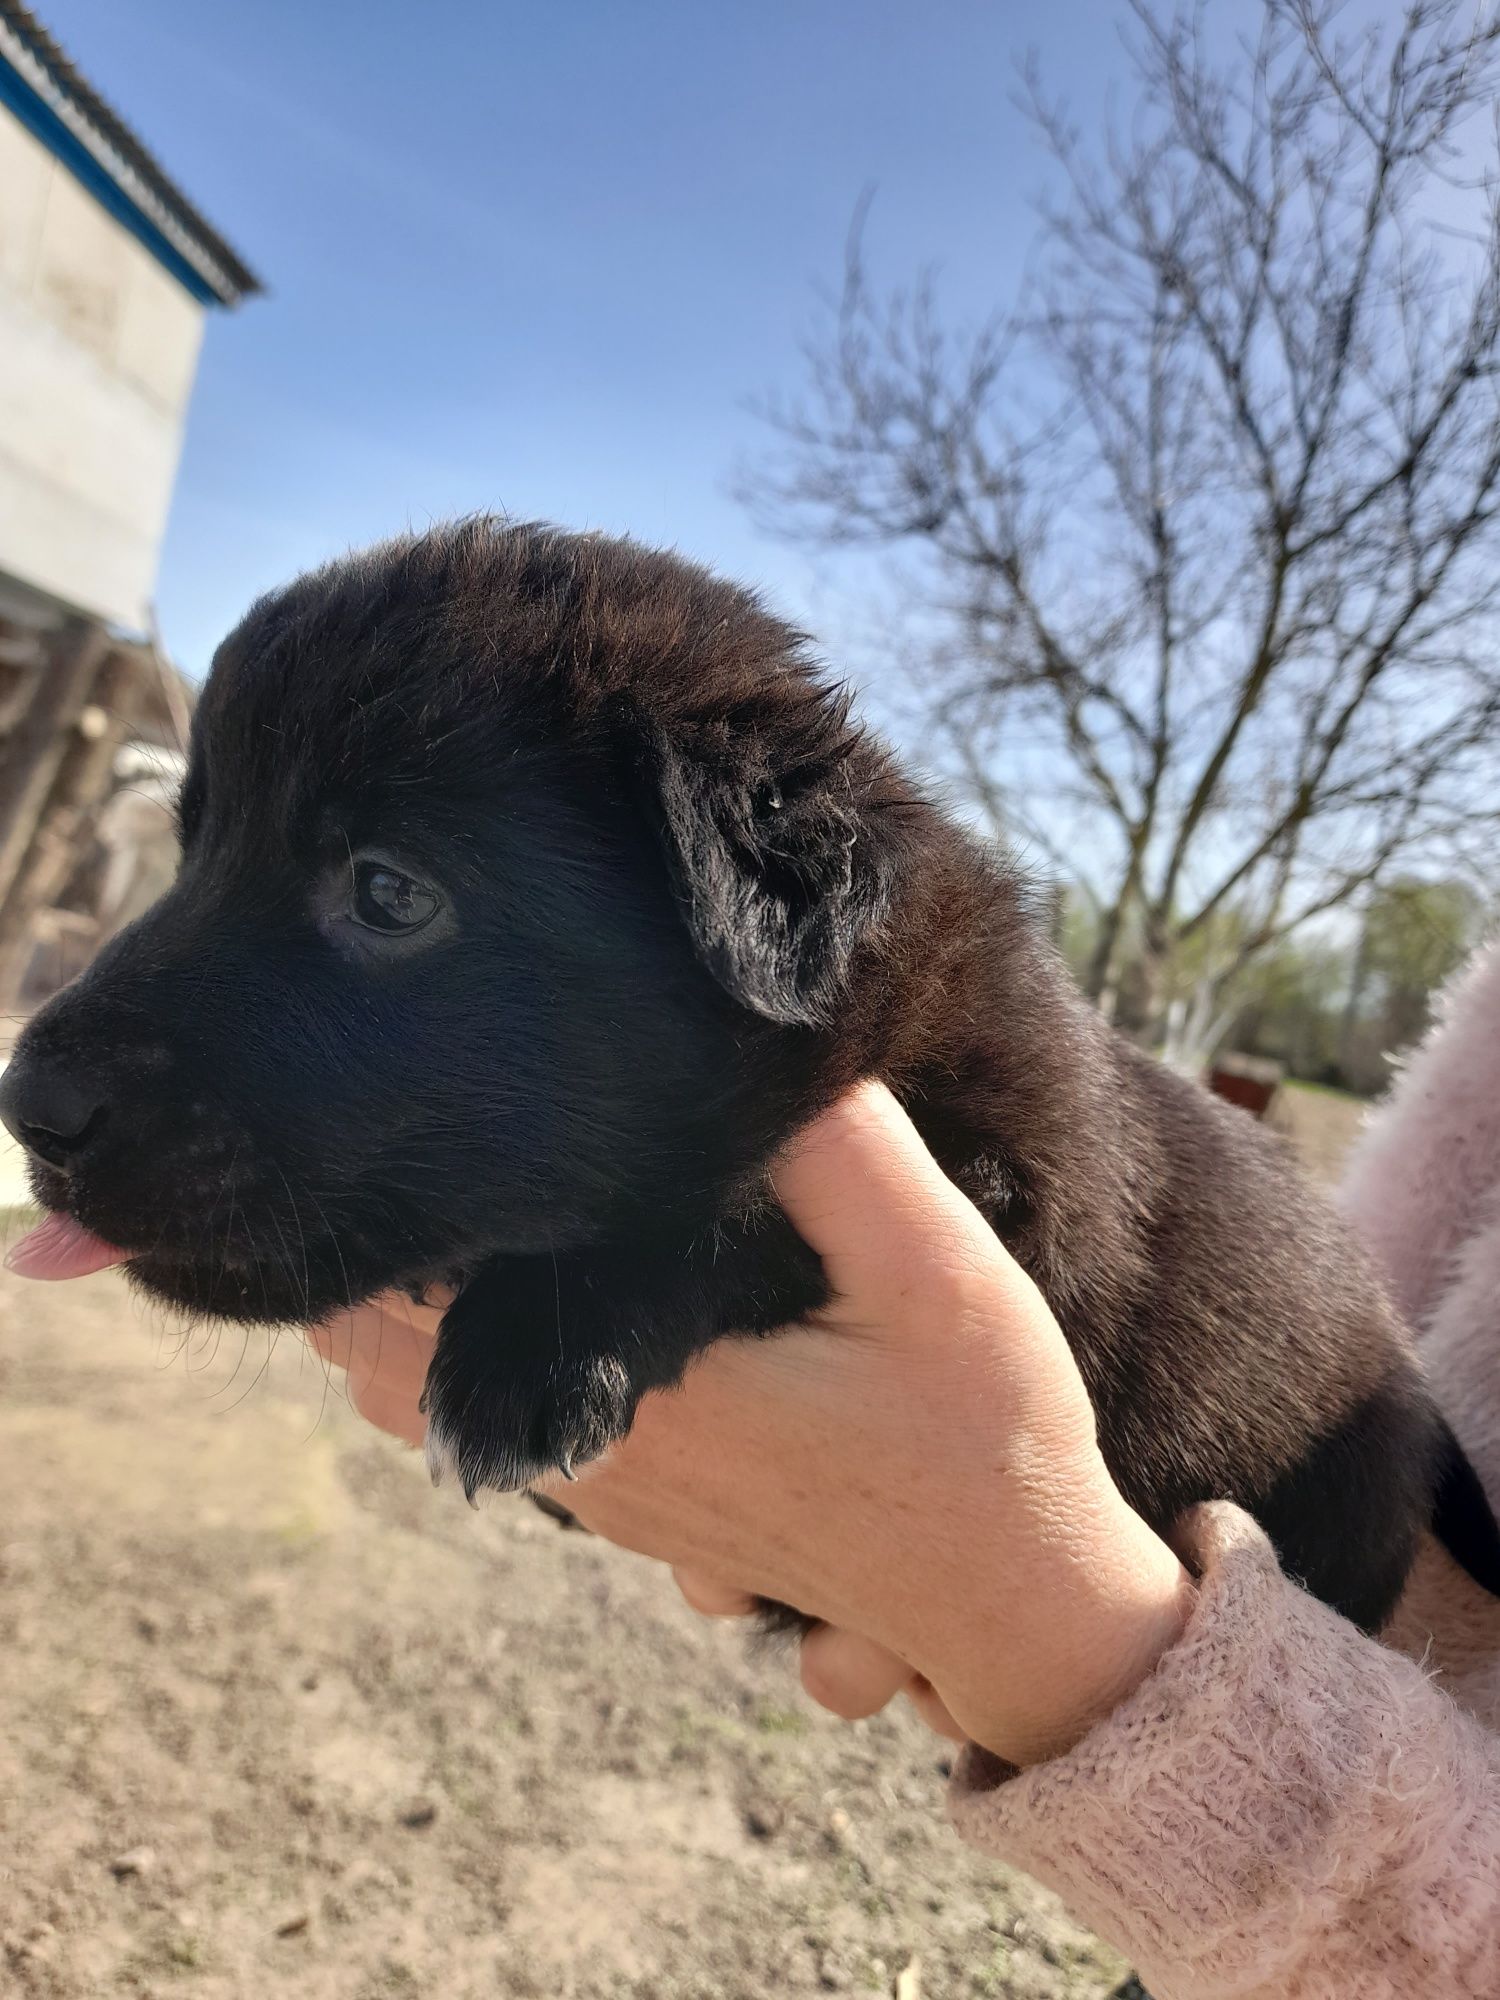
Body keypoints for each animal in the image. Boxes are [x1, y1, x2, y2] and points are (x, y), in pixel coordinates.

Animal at [5, 524, 1496, 1632]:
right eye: (190, 845)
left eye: (387, 891)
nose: (29, 1103)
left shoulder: (1019, 1190)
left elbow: (736, 1206)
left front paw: (537, 1343)